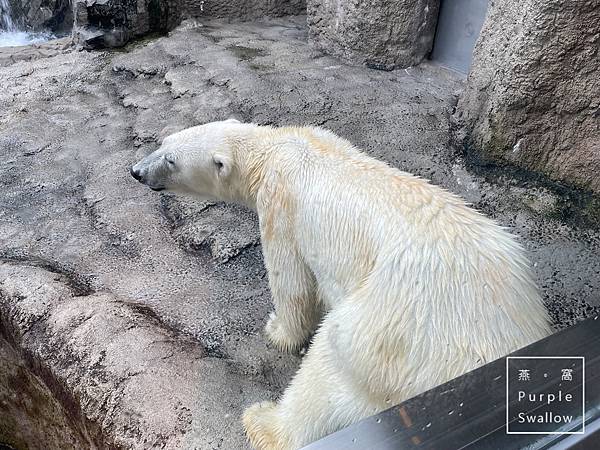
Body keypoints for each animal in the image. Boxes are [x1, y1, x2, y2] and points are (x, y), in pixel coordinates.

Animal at [131, 119, 552, 450]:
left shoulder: (281, 205)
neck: (275, 149)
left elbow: (292, 282)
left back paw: (263, 423)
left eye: (171, 159)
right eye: (164, 142)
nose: (136, 171)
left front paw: (277, 329)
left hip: (396, 331)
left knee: (329, 364)